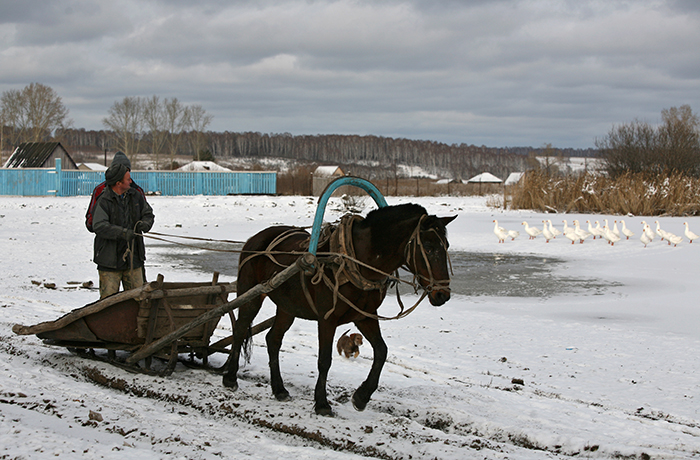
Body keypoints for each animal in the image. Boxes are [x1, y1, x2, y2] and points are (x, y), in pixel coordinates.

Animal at [222, 203, 456, 416]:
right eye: (428, 247)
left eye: (446, 245)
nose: (442, 295)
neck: (356, 260)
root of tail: (255, 238)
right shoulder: (327, 319)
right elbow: (324, 360)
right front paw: (322, 403)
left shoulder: (365, 316)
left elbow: (381, 351)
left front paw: (361, 397)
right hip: (251, 295)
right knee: (240, 329)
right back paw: (230, 377)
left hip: (288, 306)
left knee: (273, 339)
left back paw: (279, 389)